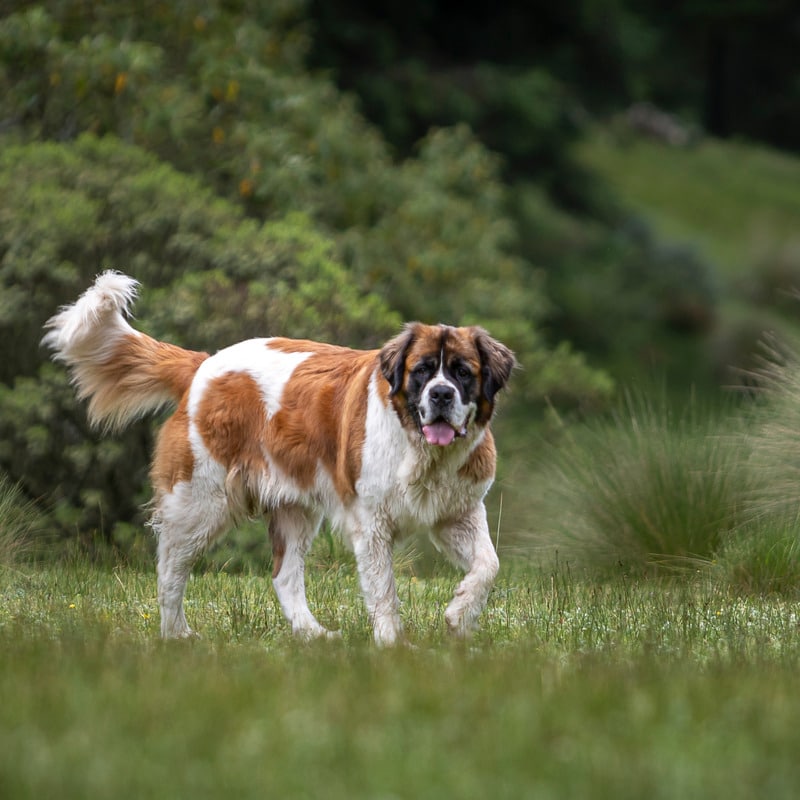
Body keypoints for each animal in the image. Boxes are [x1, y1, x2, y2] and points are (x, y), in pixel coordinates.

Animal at [43, 274, 516, 644]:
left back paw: (313, 635)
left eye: (462, 372)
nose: (441, 394)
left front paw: (458, 615)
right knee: (171, 567)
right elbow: (384, 590)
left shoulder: (458, 513)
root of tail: (203, 365)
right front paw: (393, 644)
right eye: (422, 371)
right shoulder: (372, 524)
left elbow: (488, 565)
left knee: (284, 576)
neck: (422, 451)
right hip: (201, 502)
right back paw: (176, 634)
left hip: (295, 508)